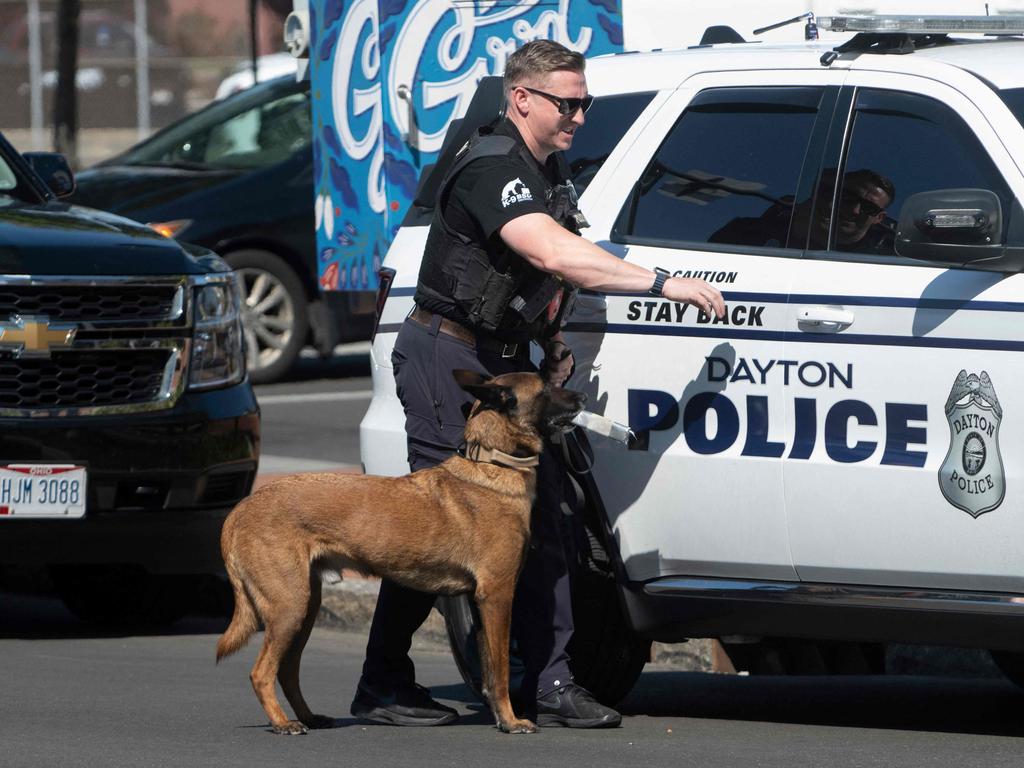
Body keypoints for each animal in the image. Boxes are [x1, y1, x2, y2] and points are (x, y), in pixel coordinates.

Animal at [216, 370, 585, 737]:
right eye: (546, 388)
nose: (582, 397)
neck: (493, 462)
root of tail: (240, 510)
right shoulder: (497, 595)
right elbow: (503, 669)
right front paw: (510, 720)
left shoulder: (482, 604)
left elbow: (491, 672)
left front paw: (500, 716)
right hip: (290, 607)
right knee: (262, 672)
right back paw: (283, 723)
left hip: (305, 608)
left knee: (287, 670)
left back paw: (308, 717)